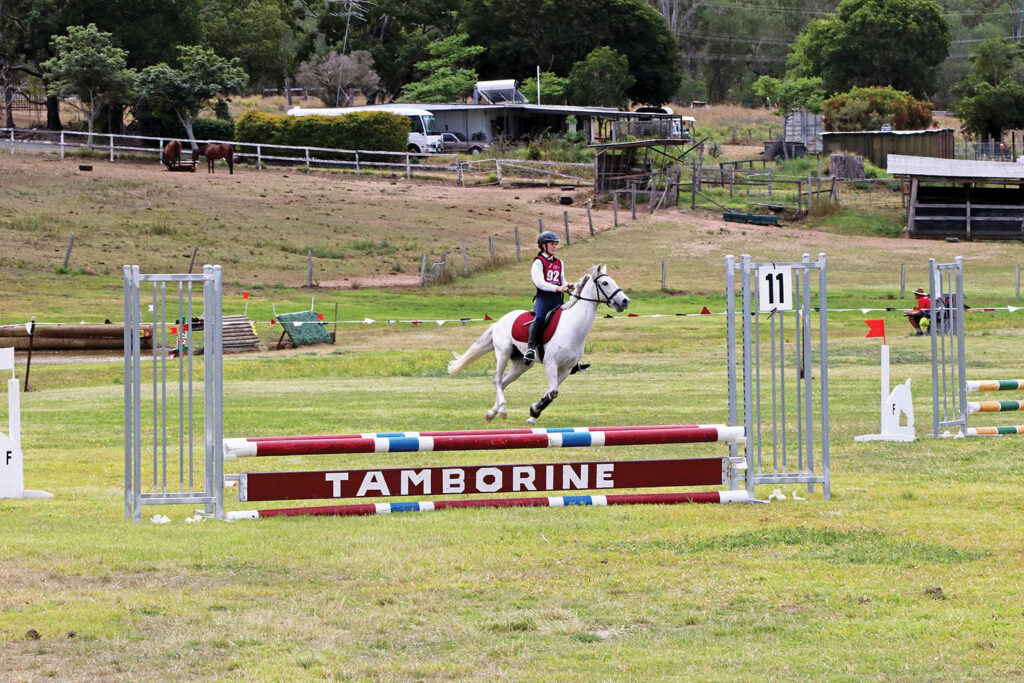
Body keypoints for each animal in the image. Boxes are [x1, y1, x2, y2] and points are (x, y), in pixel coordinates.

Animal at [450, 266, 630, 421]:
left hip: (522, 364)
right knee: (497, 379)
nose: (625, 301)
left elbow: (551, 393)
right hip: (503, 353)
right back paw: (502, 409)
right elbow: (553, 392)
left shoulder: (565, 369)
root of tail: (500, 321)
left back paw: (492, 413)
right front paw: (534, 411)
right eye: (605, 283)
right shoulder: (551, 363)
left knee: (504, 381)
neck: (573, 327)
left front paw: (534, 411)